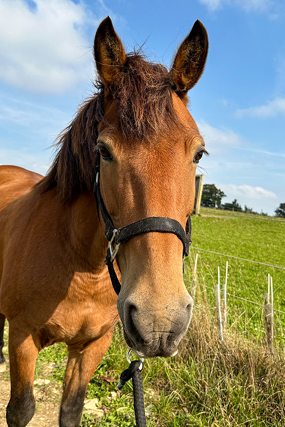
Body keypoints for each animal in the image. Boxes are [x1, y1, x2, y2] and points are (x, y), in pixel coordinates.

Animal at [0, 16, 207, 427]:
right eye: (104, 151)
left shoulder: (93, 345)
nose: (160, 320)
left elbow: (71, 410)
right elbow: (20, 410)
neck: (82, 265)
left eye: (198, 153)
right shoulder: (22, 338)